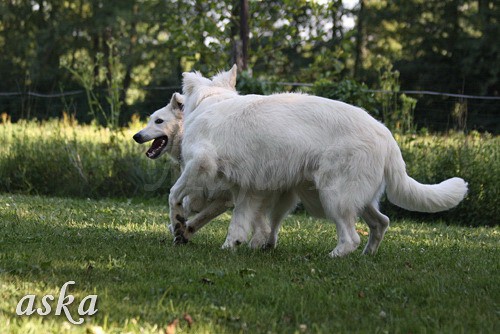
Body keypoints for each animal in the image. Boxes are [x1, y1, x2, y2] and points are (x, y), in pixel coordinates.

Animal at [131, 92, 298, 247]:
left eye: (159, 121)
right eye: (150, 120)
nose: (136, 136)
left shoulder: (225, 197)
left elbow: (198, 213)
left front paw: (180, 229)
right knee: (270, 225)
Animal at [169, 66, 468, 258]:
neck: (212, 101)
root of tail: (387, 136)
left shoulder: (200, 164)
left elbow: (175, 195)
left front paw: (178, 224)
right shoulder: (250, 190)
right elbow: (240, 223)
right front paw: (230, 246)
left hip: (333, 197)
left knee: (351, 238)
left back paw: (334, 256)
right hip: (357, 199)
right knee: (381, 222)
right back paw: (367, 256)